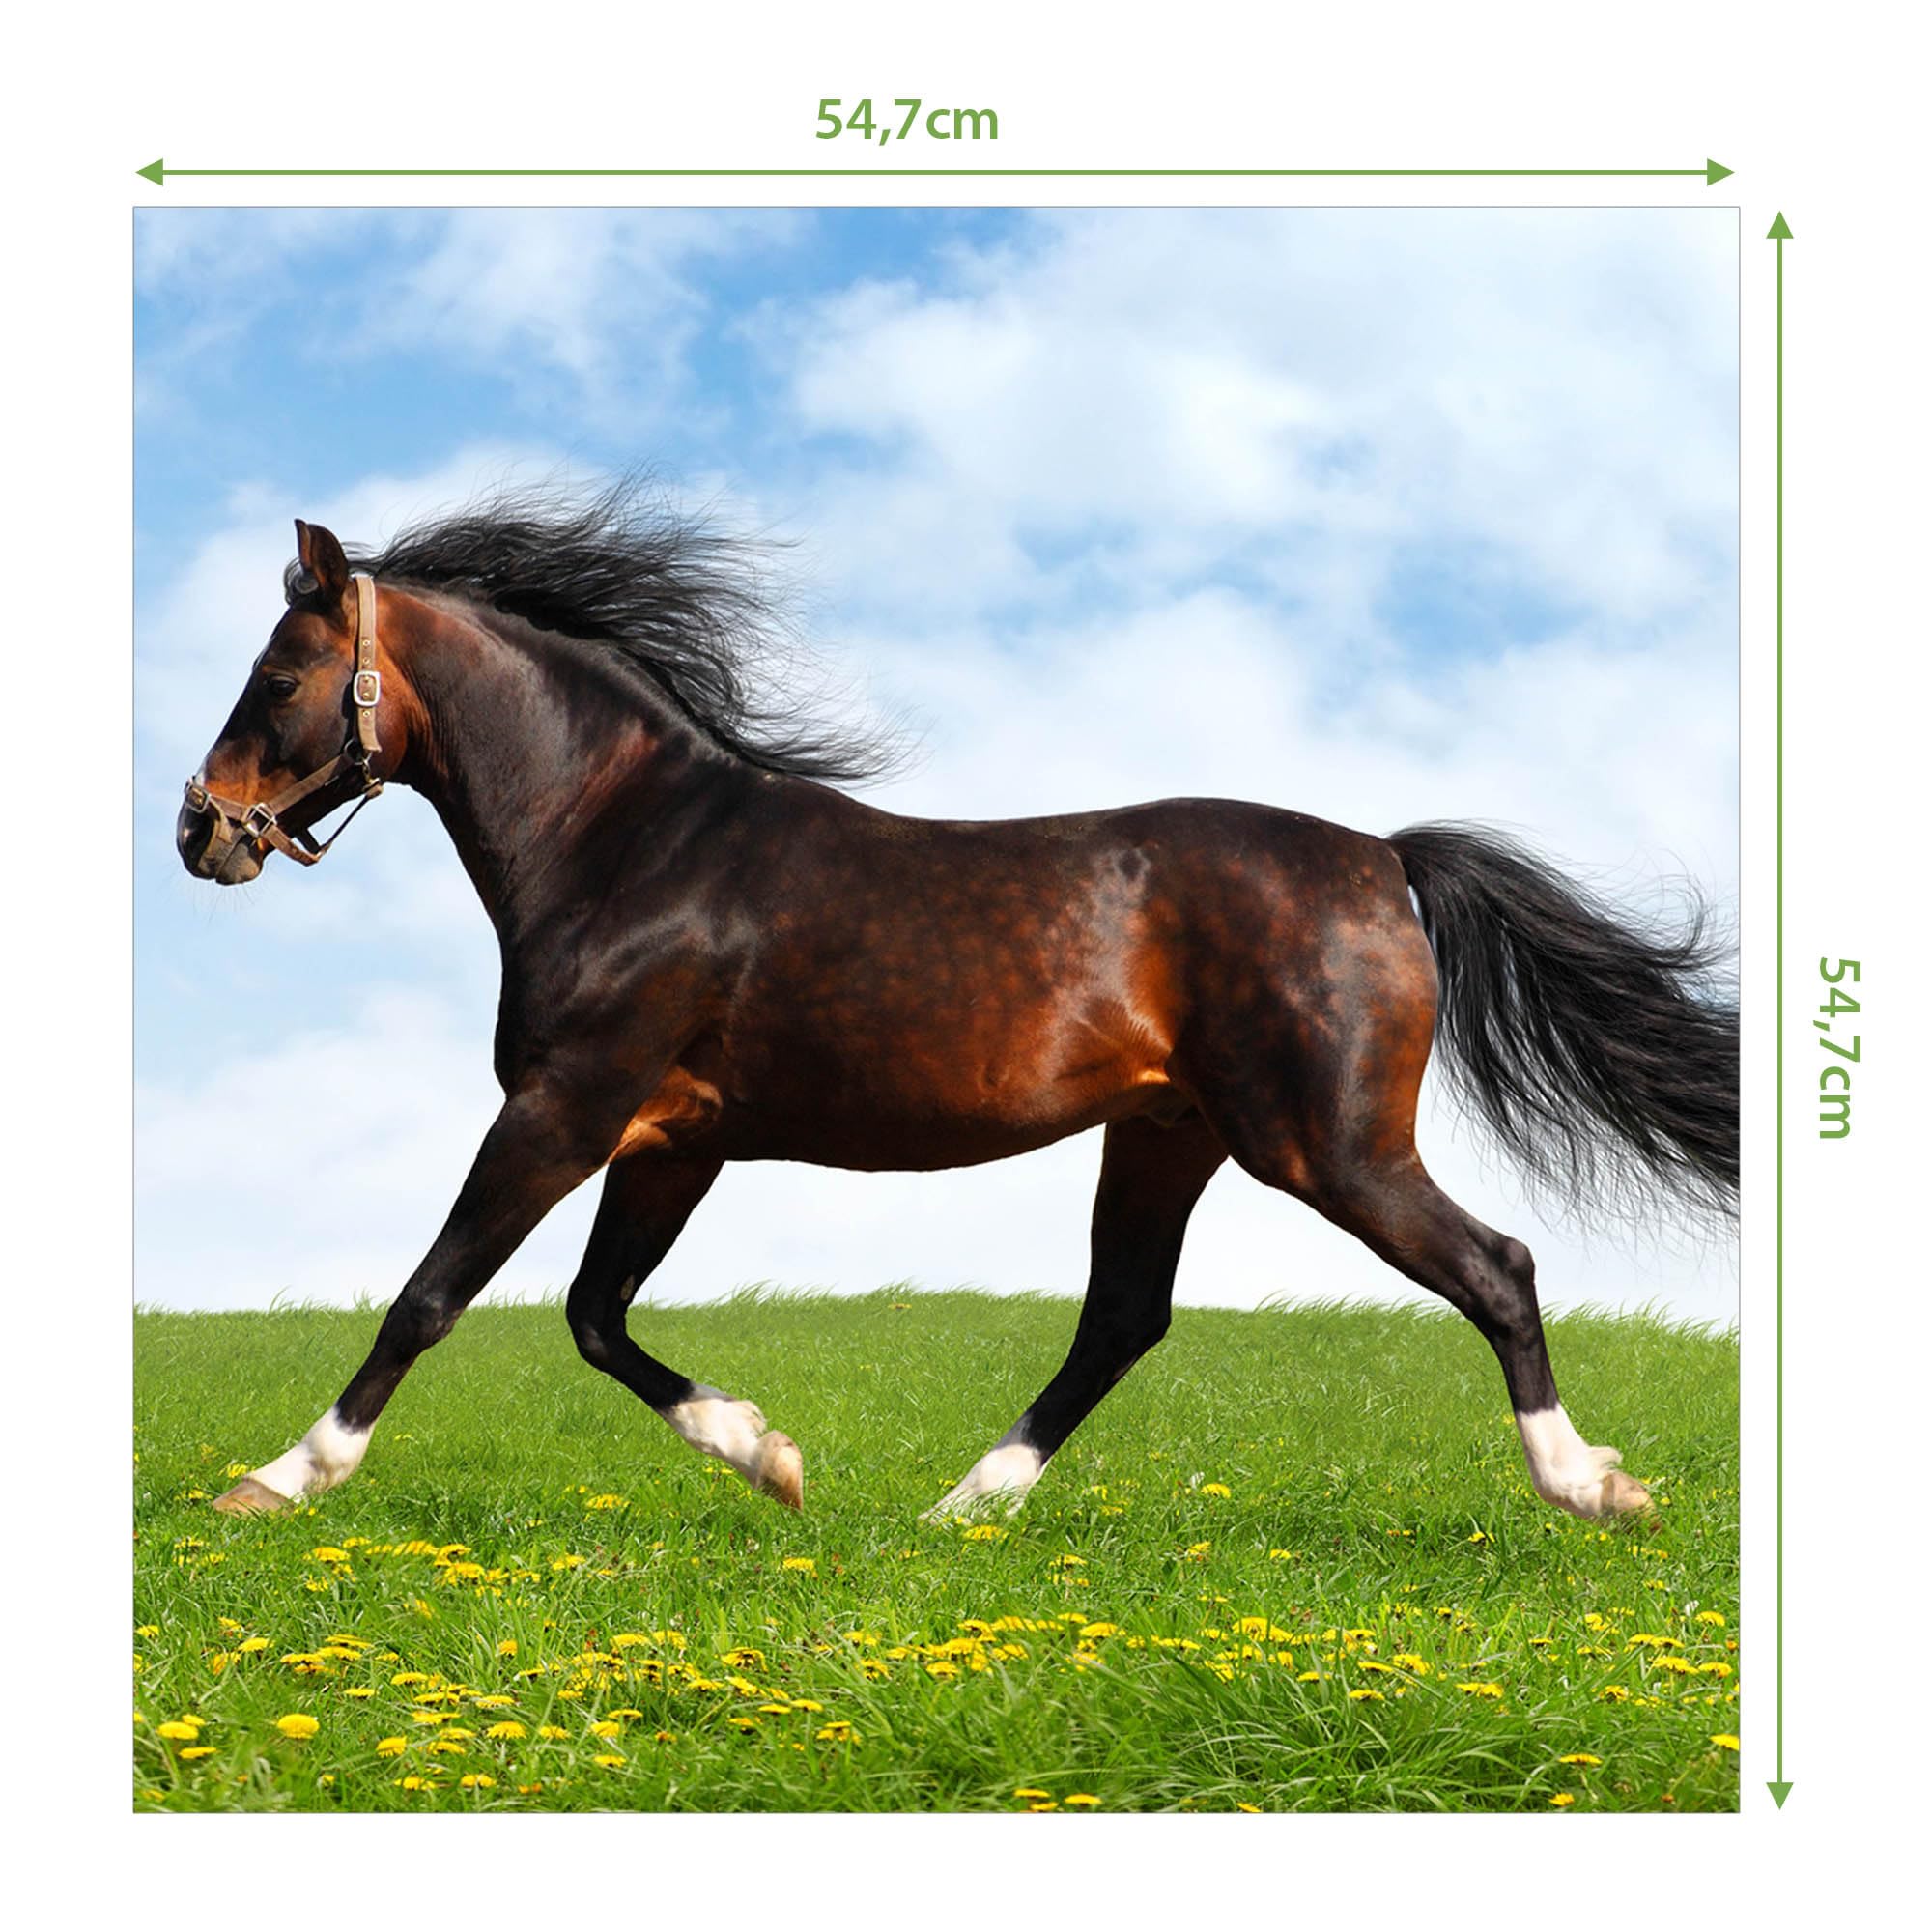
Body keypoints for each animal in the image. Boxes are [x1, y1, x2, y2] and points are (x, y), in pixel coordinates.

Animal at [175, 485, 1737, 1524]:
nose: (200, 832)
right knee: (1122, 1317)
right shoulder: (672, 1139)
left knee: (1496, 1269)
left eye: (279, 675)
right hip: (1168, 1136)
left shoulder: (566, 1107)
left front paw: (277, 1480)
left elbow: (433, 1296)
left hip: (1329, 1145)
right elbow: (593, 1317)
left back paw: (1591, 1485)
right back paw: (960, 1508)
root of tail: (1382, 857)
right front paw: (773, 1458)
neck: (629, 843)